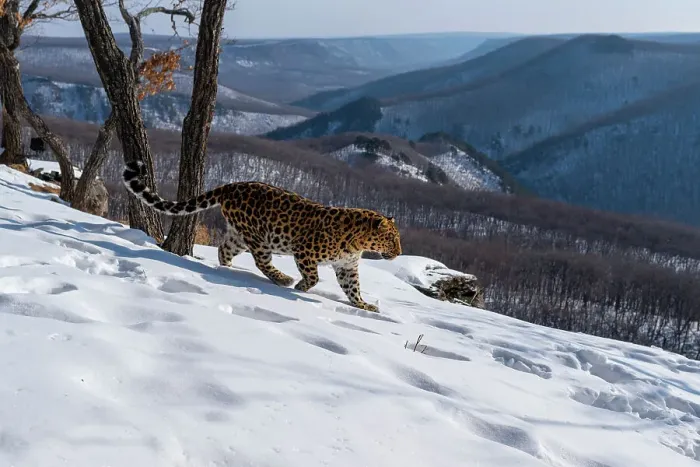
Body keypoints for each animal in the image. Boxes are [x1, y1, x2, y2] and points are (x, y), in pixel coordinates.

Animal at [122, 161, 402, 312]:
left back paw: (228, 269)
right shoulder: (305, 251)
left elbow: (352, 288)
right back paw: (283, 279)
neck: (357, 243)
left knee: (224, 249)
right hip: (259, 237)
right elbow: (313, 276)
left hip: (239, 235)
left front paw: (364, 305)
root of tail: (232, 186)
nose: (399, 253)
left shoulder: (347, 267)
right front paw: (300, 287)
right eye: (392, 239)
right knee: (262, 262)